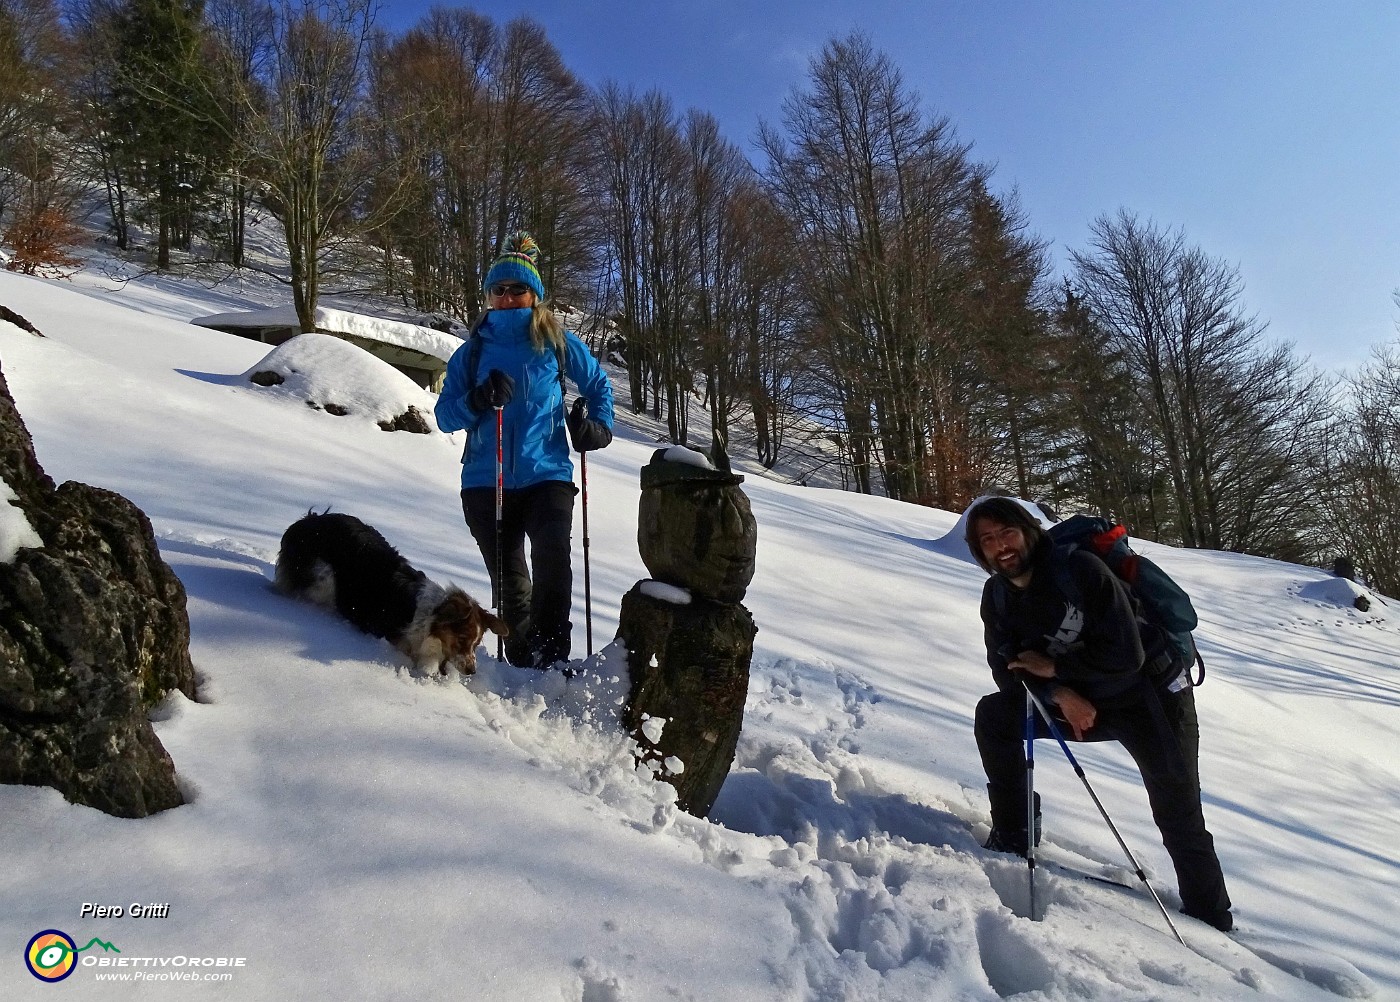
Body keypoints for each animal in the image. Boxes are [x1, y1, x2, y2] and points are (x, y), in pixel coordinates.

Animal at [271, 517, 504, 674]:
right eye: (463, 638)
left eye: (476, 644)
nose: (472, 671)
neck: (428, 622)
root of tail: (309, 520)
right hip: (323, 577)